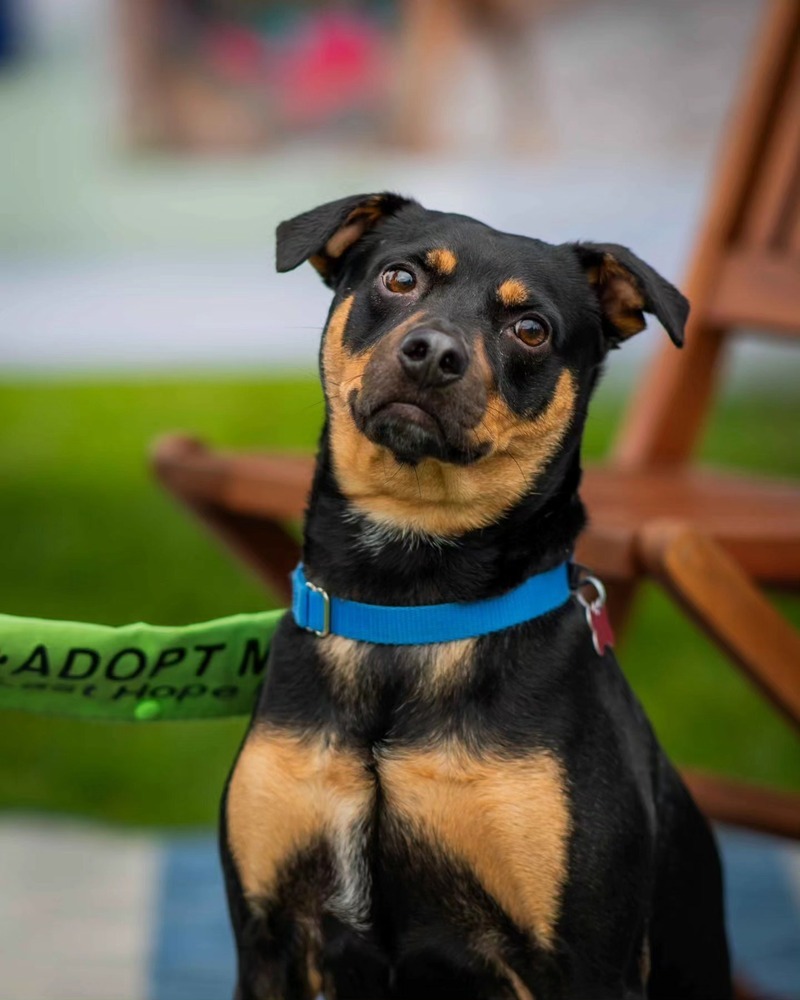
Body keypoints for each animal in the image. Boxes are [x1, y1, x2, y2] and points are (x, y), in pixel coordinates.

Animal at [219, 191, 732, 996]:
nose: (434, 353)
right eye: (399, 278)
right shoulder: (267, 936)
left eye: (531, 329)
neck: (405, 608)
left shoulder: (583, 960)